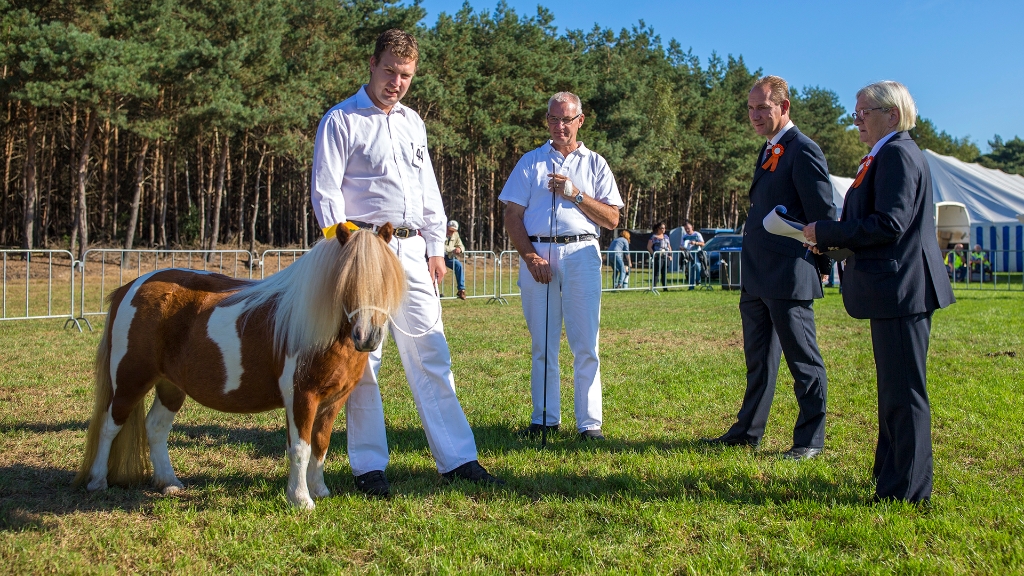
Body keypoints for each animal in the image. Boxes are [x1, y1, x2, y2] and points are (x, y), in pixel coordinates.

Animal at [73, 224, 403, 506]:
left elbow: (320, 445)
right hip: (130, 380)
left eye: (386, 278)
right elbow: (300, 448)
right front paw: (300, 499)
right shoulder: (301, 397)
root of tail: (130, 287)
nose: (368, 337)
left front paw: (319, 490)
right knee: (109, 425)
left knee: (155, 427)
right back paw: (98, 482)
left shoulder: (333, 400)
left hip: (171, 386)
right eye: (348, 280)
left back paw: (169, 482)